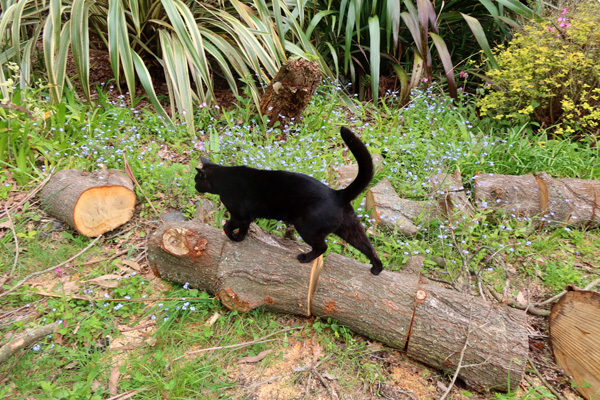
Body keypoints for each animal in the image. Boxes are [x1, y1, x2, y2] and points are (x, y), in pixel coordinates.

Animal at [197, 128, 384, 276]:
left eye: (196, 180)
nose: (195, 185)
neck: (224, 178)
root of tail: (337, 194)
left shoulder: (239, 215)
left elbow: (227, 226)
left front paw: (232, 237)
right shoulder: (247, 217)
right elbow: (244, 228)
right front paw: (240, 238)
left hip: (307, 228)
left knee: (323, 247)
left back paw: (305, 258)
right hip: (349, 229)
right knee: (368, 247)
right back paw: (377, 269)